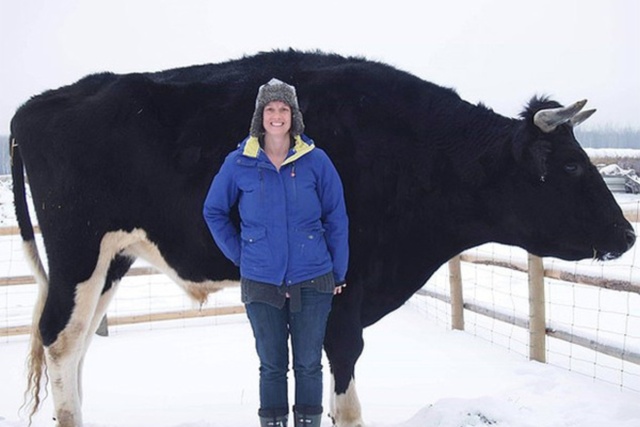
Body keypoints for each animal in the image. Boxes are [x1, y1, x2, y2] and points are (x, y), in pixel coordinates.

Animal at [10, 48, 636, 426]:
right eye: (573, 167)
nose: (627, 233)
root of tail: (38, 104)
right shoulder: (345, 295)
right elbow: (345, 386)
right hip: (78, 252)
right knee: (60, 341)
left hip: (112, 260)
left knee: (78, 345)